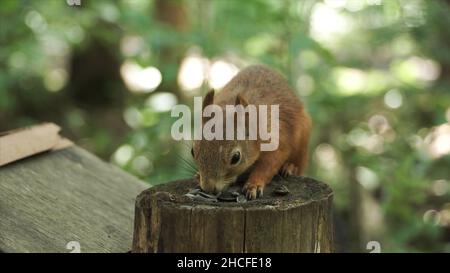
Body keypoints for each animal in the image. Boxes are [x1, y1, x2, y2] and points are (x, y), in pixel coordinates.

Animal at [192, 65, 312, 199]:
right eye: (192, 151)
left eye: (236, 158)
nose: (208, 189)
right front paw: (198, 176)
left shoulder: (278, 139)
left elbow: (269, 164)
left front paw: (253, 184)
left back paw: (290, 167)